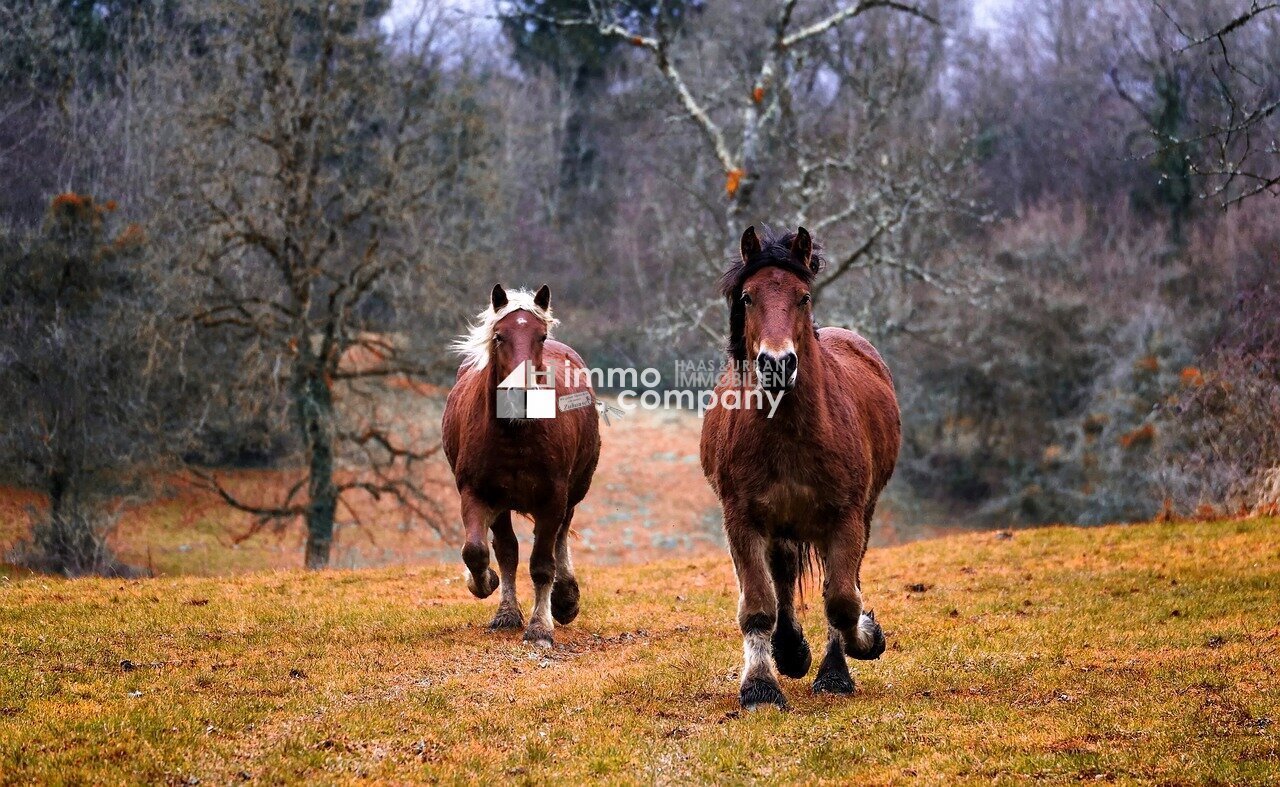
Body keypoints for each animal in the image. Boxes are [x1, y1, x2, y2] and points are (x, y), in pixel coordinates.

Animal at [442, 282, 601, 647]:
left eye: (540, 336)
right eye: (499, 336)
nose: (521, 392)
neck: (515, 433)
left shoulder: (553, 497)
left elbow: (542, 563)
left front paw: (541, 627)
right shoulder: (477, 493)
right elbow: (478, 551)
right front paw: (486, 584)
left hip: (573, 491)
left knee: (560, 538)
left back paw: (565, 599)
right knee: (507, 550)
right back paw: (508, 610)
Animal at [701, 225, 901, 711]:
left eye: (803, 296)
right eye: (748, 297)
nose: (777, 364)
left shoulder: (846, 518)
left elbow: (843, 600)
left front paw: (859, 648)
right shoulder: (743, 519)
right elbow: (759, 604)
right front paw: (760, 686)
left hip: (857, 516)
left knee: (838, 583)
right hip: (781, 524)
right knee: (784, 578)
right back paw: (789, 651)